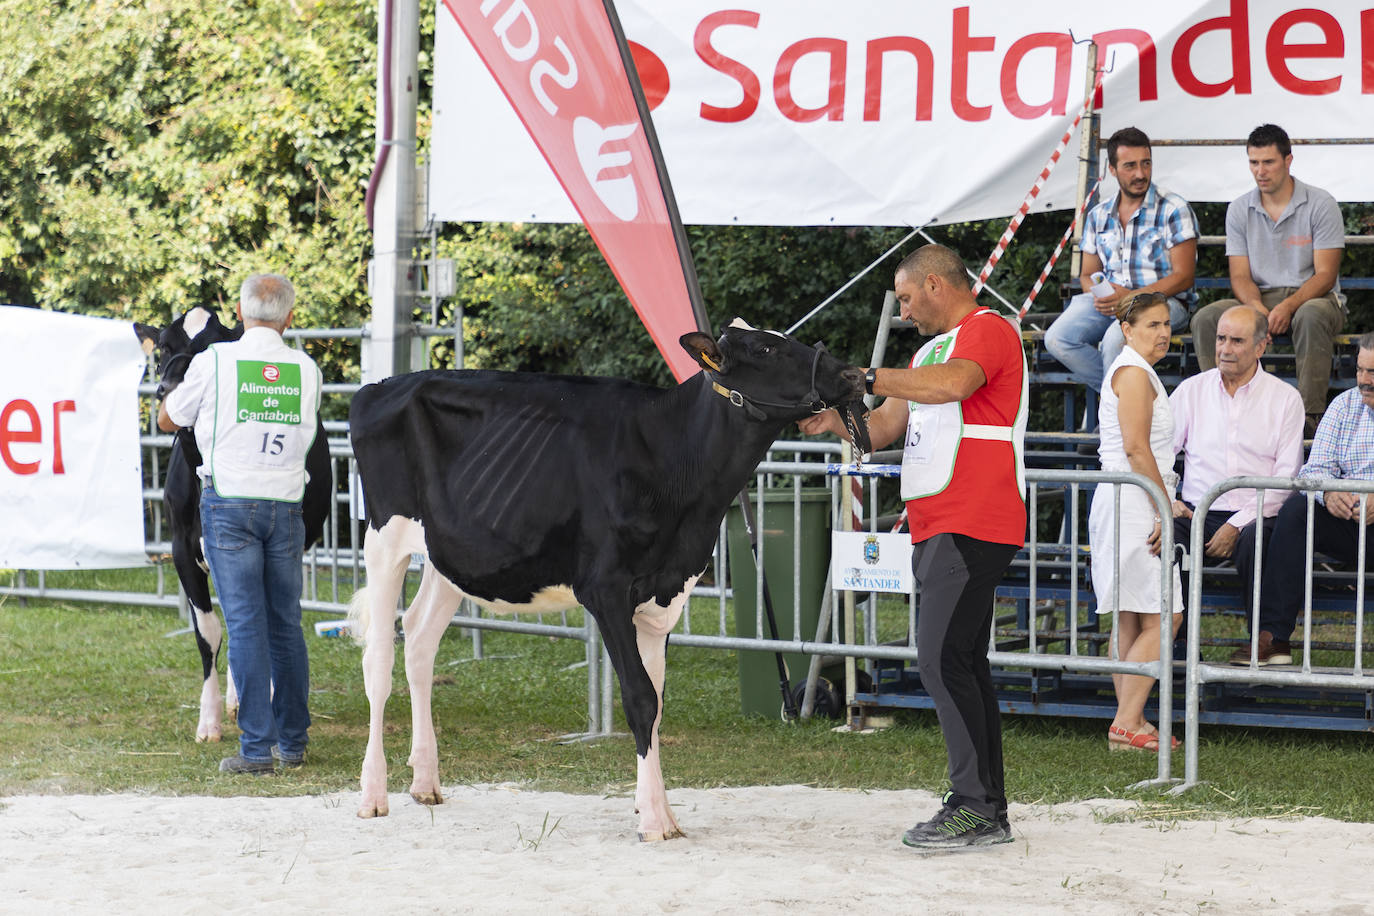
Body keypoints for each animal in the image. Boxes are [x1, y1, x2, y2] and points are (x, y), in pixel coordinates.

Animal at [138, 307, 332, 747]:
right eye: (164, 348)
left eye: (212, 347)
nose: (168, 388)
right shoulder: (181, 551)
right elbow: (209, 631)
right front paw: (208, 721)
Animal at [346, 321, 868, 840]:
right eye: (765, 348)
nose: (854, 375)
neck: (676, 465)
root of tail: (380, 387)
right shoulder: (606, 590)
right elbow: (639, 697)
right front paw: (655, 820)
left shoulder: (666, 592)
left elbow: (657, 701)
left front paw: (658, 808)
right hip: (384, 538)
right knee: (378, 660)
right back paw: (372, 795)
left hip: (450, 556)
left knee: (419, 641)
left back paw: (425, 782)